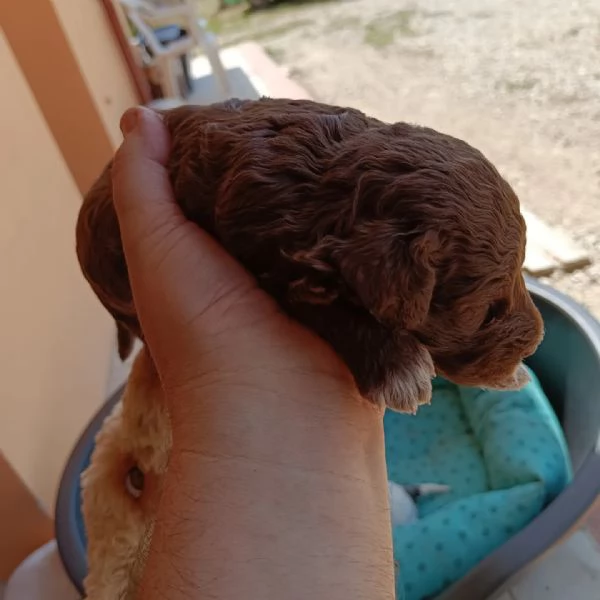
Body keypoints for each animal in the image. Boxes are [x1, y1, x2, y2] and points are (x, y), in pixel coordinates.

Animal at [75, 97, 544, 412]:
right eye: (486, 313)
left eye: (523, 271)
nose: (537, 340)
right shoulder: (271, 267)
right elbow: (331, 312)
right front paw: (399, 367)